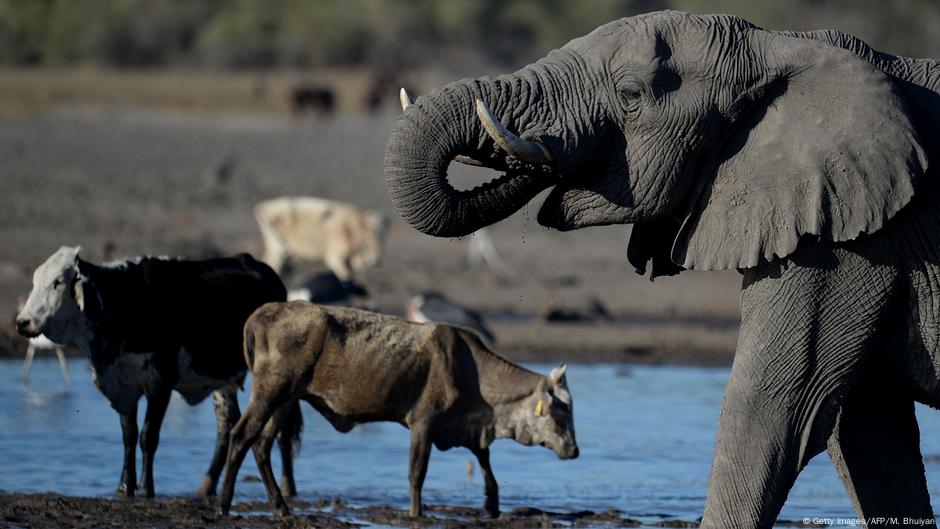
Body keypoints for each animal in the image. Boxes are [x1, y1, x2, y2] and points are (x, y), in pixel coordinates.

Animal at [15, 245, 302, 498]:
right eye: (35, 280)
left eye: (57, 283)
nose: (22, 322)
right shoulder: (123, 385)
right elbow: (129, 436)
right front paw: (123, 487)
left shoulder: (160, 383)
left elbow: (147, 436)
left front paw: (145, 488)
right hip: (223, 380)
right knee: (227, 425)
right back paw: (207, 485)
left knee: (282, 429)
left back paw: (287, 486)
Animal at [220, 302, 576, 516]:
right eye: (562, 406)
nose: (574, 450)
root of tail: (266, 311)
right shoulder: (423, 421)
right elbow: (417, 473)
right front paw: (417, 512)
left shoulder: (467, 428)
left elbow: (486, 463)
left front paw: (492, 503)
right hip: (271, 390)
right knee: (241, 434)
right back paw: (224, 504)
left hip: (285, 399)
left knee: (261, 445)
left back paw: (280, 506)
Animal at [253, 196, 386, 280]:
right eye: (365, 240)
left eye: (381, 239)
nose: (377, 261)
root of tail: (263, 207)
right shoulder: (335, 256)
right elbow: (344, 275)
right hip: (278, 247)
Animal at [384, 8, 940, 528]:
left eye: (630, 93)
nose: (538, 153)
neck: (779, 44)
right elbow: (867, 433)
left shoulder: (853, 237)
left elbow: (776, 404)